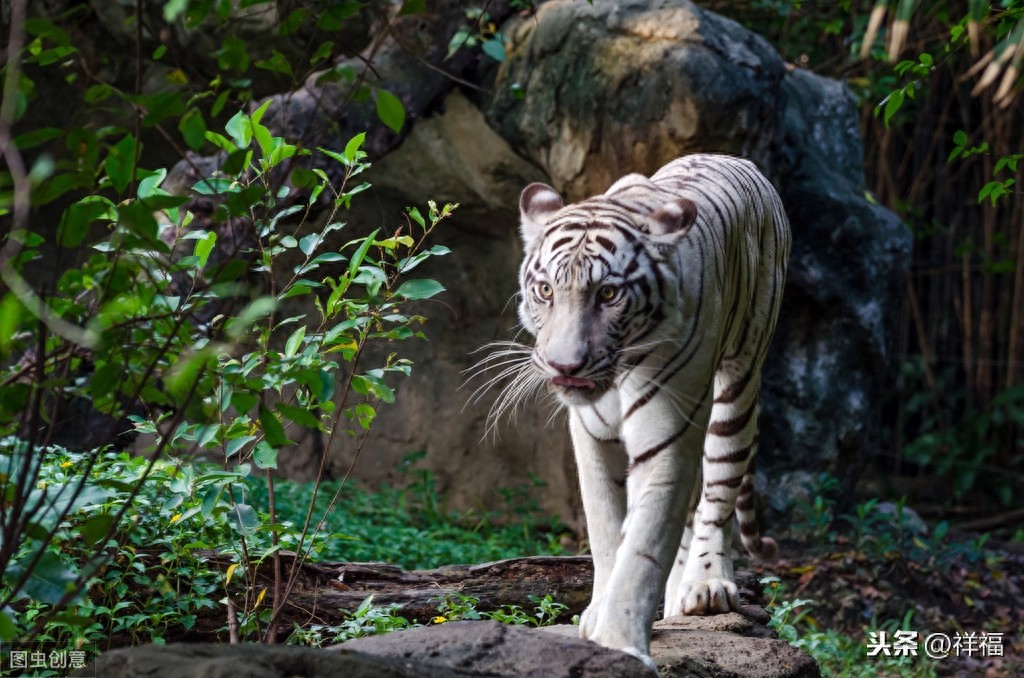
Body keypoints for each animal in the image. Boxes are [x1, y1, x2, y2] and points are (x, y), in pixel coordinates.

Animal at [472, 154, 790, 670]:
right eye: (545, 290)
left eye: (608, 294)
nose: (565, 365)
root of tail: (735, 158)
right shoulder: (591, 438)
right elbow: (607, 532)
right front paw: (600, 613)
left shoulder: (667, 434)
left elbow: (642, 544)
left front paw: (620, 643)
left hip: (738, 385)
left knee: (717, 493)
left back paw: (705, 584)